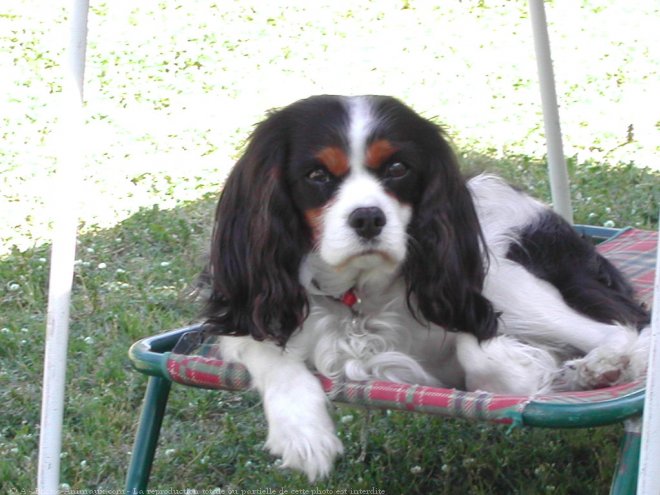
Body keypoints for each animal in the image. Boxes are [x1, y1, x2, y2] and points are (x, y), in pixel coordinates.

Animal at [197, 95, 648, 482]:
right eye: (317, 175)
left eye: (398, 169)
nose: (368, 218)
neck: (358, 295)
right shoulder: (248, 315)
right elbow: (269, 356)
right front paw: (303, 434)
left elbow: (482, 352)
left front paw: (528, 367)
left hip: (507, 279)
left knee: (624, 330)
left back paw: (597, 367)